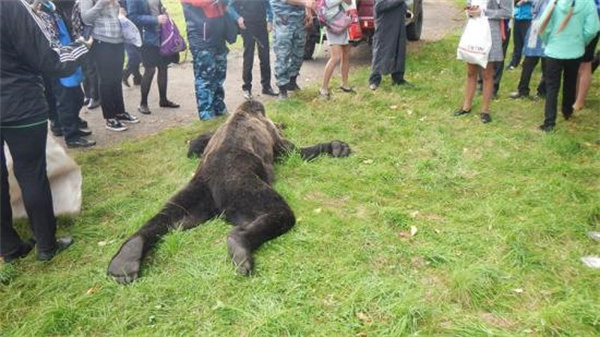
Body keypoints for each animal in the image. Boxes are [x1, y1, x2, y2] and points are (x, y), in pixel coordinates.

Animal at [108, 100, 352, 284]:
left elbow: (196, 142)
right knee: (279, 213)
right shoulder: (275, 139)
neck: (245, 110)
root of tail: (214, 185)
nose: (282, 123)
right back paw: (240, 245)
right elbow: (295, 151)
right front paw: (335, 146)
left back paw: (126, 258)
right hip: (246, 190)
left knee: (162, 220)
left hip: (193, 198)